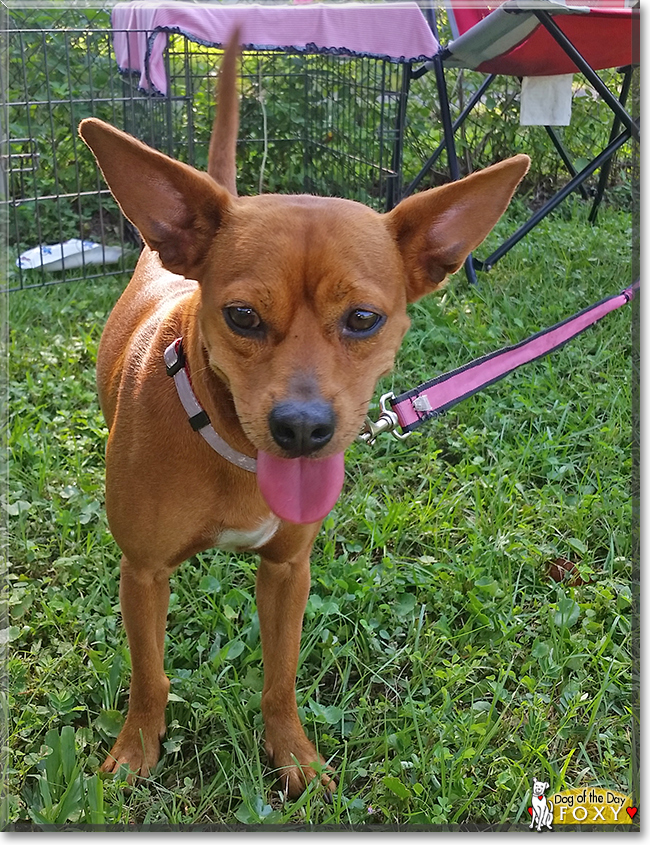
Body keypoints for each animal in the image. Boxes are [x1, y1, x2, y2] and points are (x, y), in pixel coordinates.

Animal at [78, 34, 528, 796]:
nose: (302, 429)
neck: (229, 446)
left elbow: (281, 677)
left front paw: (293, 755)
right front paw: (137, 748)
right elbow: (149, 676)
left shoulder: (290, 571)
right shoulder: (141, 572)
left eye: (363, 319)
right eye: (241, 316)